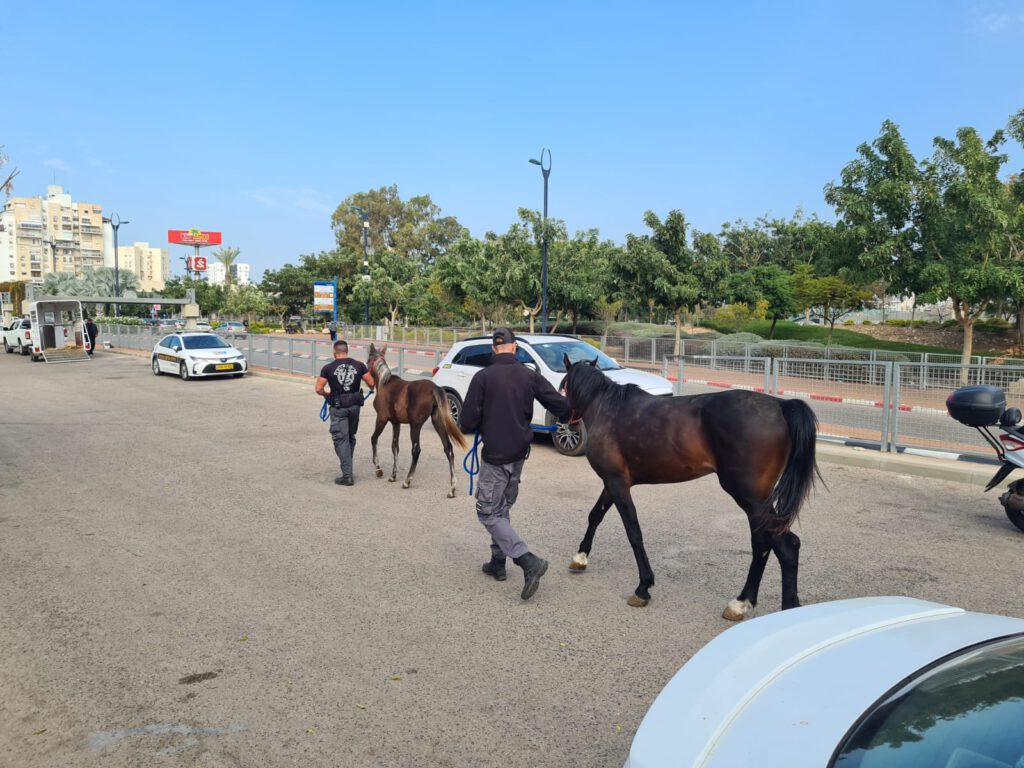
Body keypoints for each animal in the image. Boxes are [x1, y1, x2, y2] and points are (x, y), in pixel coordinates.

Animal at [364, 344, 468, 499]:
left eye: (367, 361)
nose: (367, 380)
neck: (384, 383)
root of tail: (434, 388)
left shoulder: (381, 418)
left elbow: (374, 439)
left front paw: (378, 469)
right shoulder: (396, 423)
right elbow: (395, 446)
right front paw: (393, 475)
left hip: (415, 425)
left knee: (416, 450)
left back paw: (407, 481)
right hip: (437, 422)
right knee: (448, 448)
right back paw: (452, 488)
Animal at [565, 358, 819, 622]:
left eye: (564, 385)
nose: (566, 421)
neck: (607, 407)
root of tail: (781, 405)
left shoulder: (616, 482)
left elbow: (633, 531)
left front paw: (643, 587)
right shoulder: (613, 482)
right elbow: (596, 515)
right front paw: (580, 557)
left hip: (750, 497)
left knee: (781, 545)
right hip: (757, 500)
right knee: (767, 543)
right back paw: (747, 603)